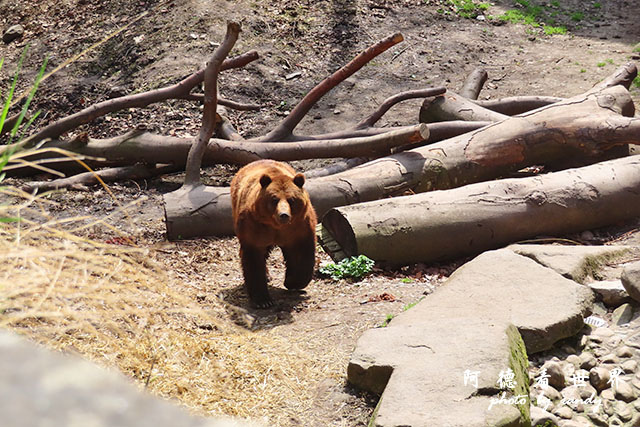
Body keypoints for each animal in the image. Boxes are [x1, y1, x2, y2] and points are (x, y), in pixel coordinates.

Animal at [231, 159, 318, 310]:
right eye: (274, 199)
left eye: (291, 199)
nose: (283, 214)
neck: (276, 226)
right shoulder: (254, 227)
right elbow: (253, 260)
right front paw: (263, 300)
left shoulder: (299, 227)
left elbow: (301, 256)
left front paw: (292, 281)